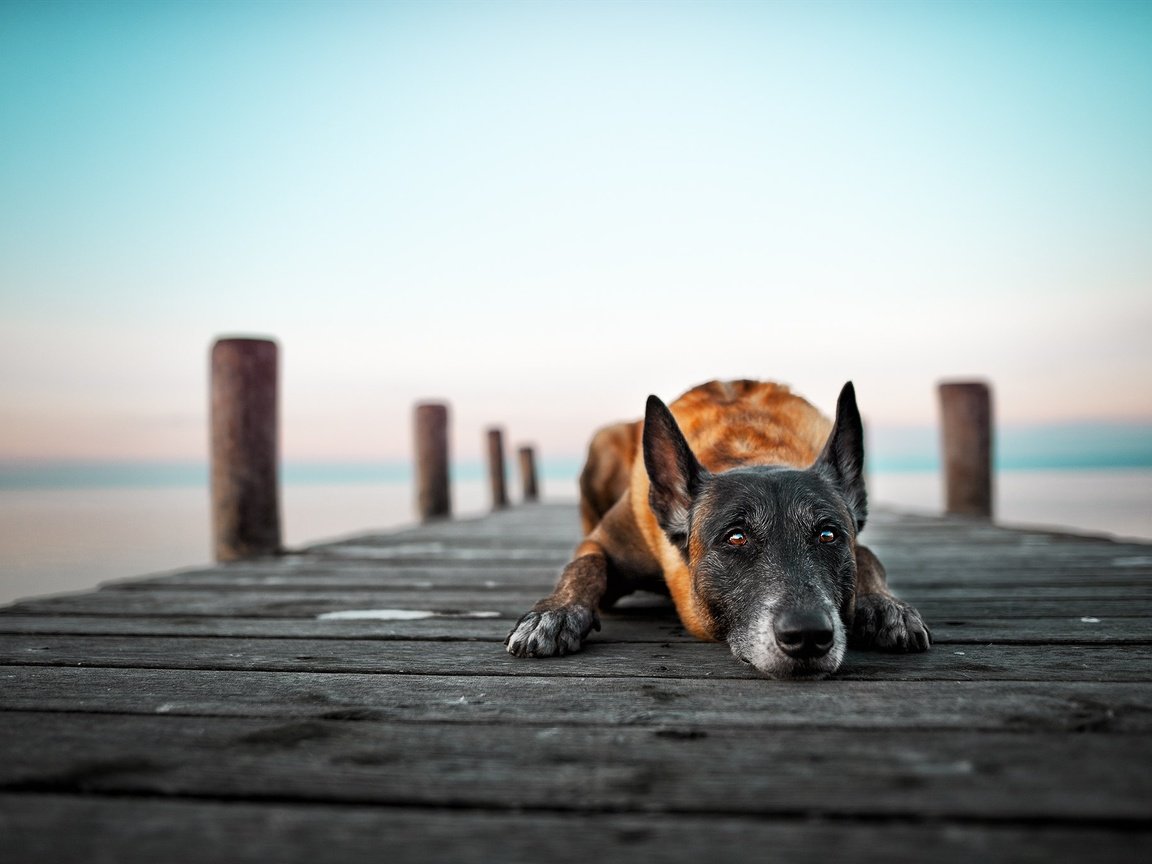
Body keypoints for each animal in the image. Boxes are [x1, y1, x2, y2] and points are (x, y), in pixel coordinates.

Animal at [504, 382, 926, 681]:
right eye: (736, 538)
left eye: (828, 536)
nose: (808, 635)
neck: (749, 452)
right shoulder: (601, 542)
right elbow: (586, 565)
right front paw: (555, 612)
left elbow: (868, 556)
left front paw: (887, 606)